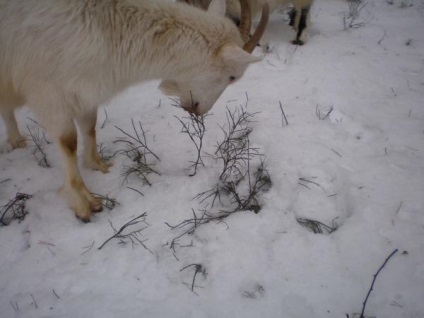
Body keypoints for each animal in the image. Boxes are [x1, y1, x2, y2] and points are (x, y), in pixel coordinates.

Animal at [0, 0, 266, 221]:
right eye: (232, 76)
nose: (198, 111)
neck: (109, 29)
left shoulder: (85, 89)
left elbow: (89, 126)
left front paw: (98, 165)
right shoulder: (47, 89)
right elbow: (68, 142)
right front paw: (83, 202)